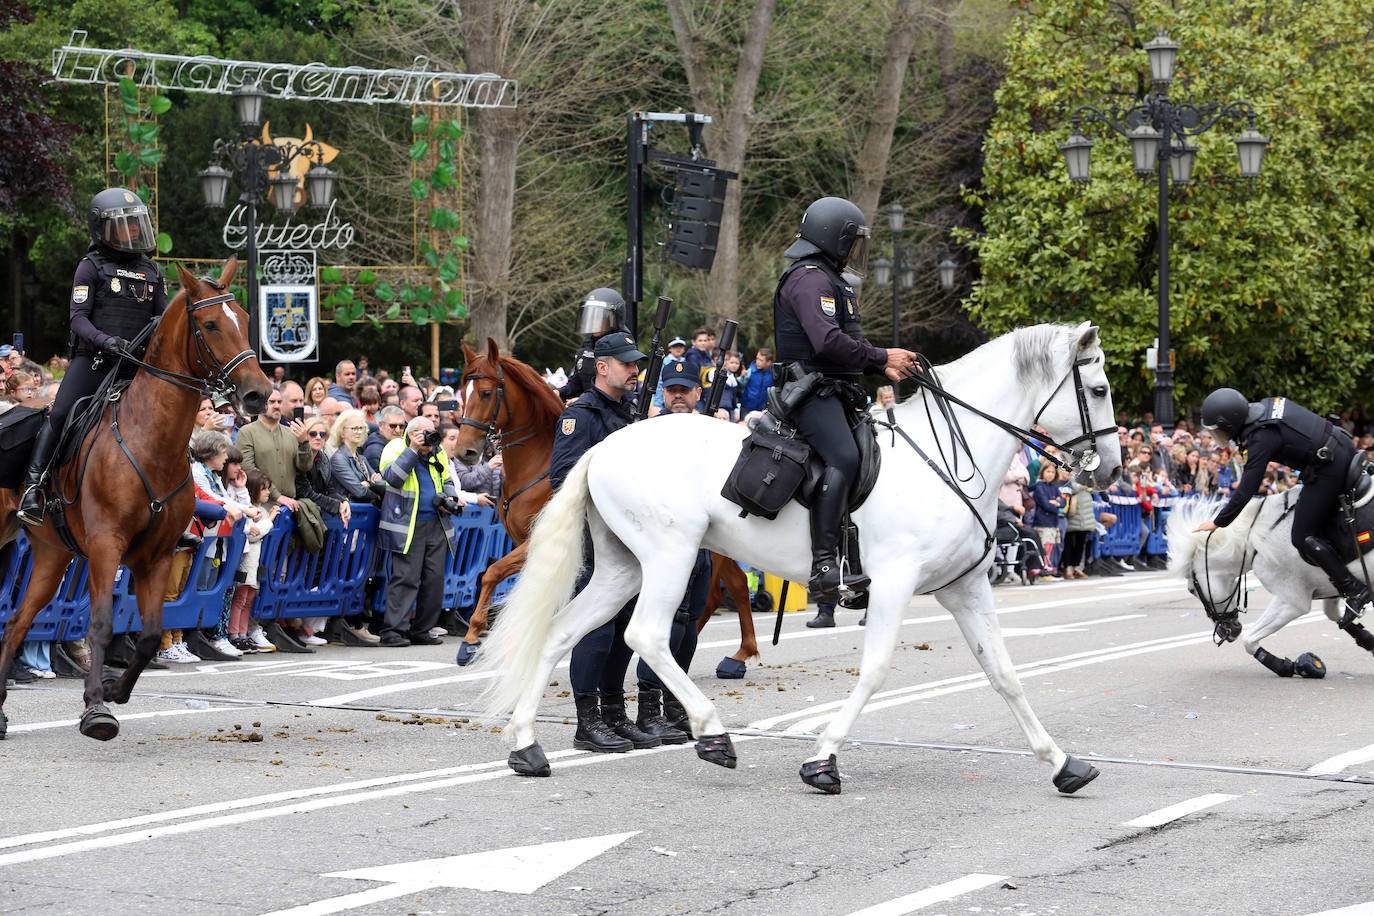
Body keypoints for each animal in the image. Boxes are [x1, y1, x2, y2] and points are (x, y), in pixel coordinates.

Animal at [0, 256, 269, 736]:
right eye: (212, 324)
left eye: (244, 319)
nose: (259, 393)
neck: (150, 440)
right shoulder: (107, 546)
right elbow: (101, 626)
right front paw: (95, 709)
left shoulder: (156, 556)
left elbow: (148, 635)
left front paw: (115, 690)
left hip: (50, 556)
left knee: (15, 625)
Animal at [450, 340, 758, 670]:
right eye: (462, 394)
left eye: (485, 393)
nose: (464, 452)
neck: (538, 463)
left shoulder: (540, 542)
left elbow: (493, 573)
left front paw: (471, 637)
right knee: (727, 589)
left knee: (724, 591)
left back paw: (734, 654)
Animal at [1165, 491, 1374, 678]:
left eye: (1191, 590)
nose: (1229, 631)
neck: (1256, 541)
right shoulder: (1331, 589)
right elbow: (1338, 617)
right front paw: (1368, 641)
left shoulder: (1290, 602)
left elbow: (1249, 640)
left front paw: (1283, 666)